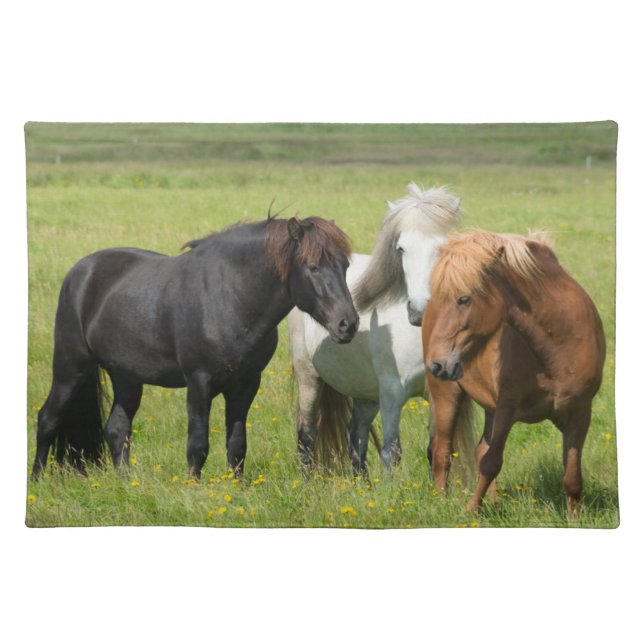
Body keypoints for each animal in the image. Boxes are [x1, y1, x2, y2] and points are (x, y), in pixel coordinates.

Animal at [32, 214, 359, 480]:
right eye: (313, 267)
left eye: (345, 266)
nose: (348, 324)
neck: (230, 297)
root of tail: (80, 272)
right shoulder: (199, 381)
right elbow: (198, 443)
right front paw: (194, 487)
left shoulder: (246, 385)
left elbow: (237, 443)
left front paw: (236, 488)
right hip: (70, 368)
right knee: (47, 418)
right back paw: (37, 479)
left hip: (126, 377)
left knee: (117, 429)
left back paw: (126, 482)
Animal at [288, 183, 470, 475]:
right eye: (401, 248)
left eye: (442, 247)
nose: (419, 311)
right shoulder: (392, 394)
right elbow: (391, 452)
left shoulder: (437, 393)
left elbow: (436, 451)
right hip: (310, 379)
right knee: (306, 437)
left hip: (367, 393)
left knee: (356, 435)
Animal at [422, 230, 606, 515]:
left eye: (464, 299)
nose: (436, 364)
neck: (558, 349)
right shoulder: (507, 408)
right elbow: (491, 462)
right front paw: (470, 512)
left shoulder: (580, 413)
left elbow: (572, 477)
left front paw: (574, 518)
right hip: (447, 394)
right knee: (442, 451)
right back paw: (441, 502)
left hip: (489, 407)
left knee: (476, 450)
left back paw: (495, 502)